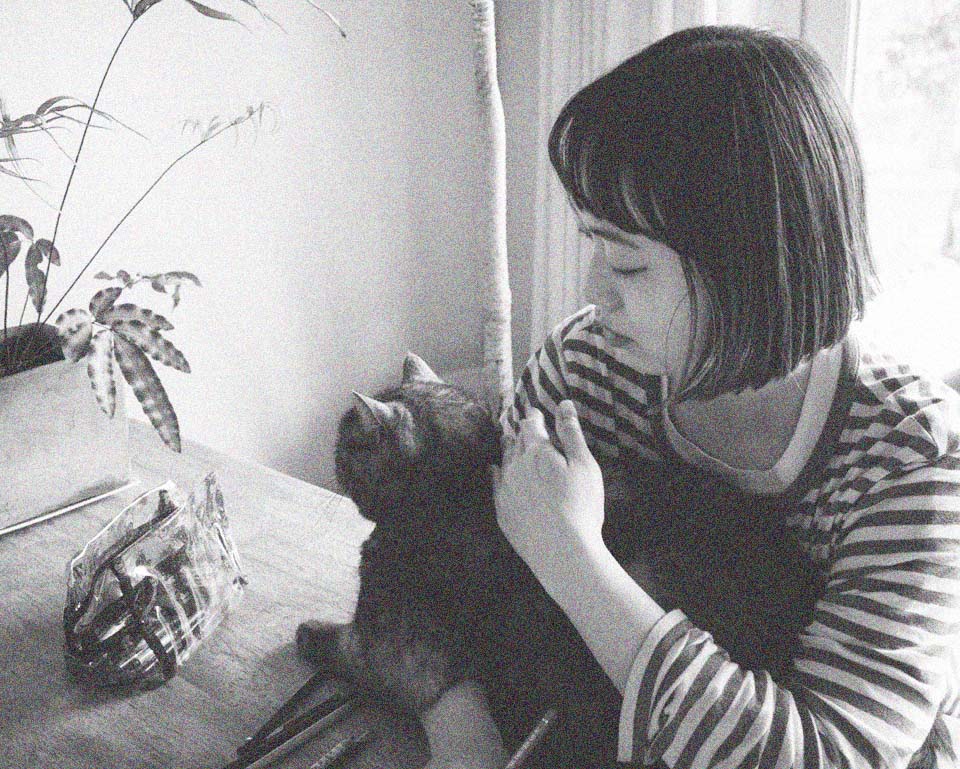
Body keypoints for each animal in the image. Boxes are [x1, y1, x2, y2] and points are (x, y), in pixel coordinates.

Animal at [296, 353, 948, 769]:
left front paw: (306, 634)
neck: (464, 481)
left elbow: (339, 646)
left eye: (343, 443)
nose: (332, 453)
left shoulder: (398, 653)